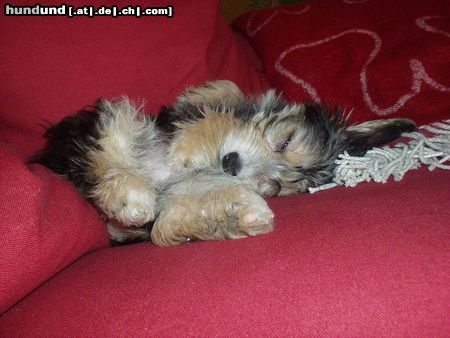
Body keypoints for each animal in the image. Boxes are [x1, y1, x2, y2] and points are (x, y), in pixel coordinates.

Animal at [31, 81, 414, 247]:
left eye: (274, 186)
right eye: (284, 141)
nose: (232, 163)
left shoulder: (188, 185)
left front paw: (233, 214)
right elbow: (225, 96)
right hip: (97, 124)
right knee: (113, 135)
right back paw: (131, 193)